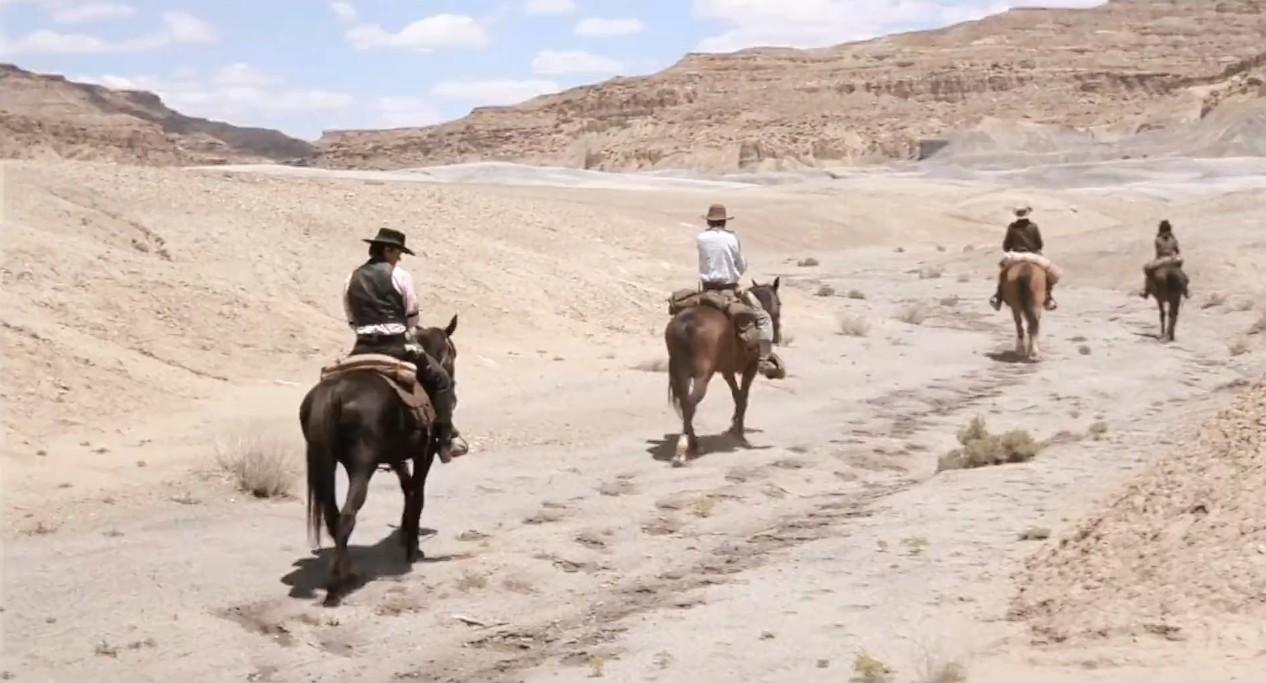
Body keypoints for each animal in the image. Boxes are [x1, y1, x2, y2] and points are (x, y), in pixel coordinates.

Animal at [298, 312, 458, 600]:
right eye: (453, 353)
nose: (455, 389)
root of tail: (334, 393)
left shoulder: (397, 457)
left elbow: (408, 489)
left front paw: (406, 532)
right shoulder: (424, 454)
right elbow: (418, 494)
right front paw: (413, 548)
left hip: (326, 464)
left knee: (333, 516)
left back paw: (348, 571)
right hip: (362, 468)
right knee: (347, 516)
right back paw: (338, 585)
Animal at [663, 276, 779, 466]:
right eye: (779, 304)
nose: (777, 336)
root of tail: (686, 324)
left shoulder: (727, 371)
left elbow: (737, 397)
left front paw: (734, 428)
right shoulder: (751, 367)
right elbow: (743, 398)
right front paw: (740, 435)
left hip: (681, 374)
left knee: (685, 402)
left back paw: (693, 444)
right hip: (702, 376)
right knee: (691, 404)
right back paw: (684, 449)